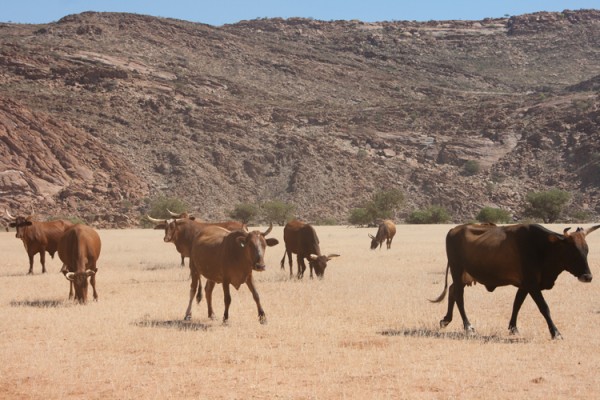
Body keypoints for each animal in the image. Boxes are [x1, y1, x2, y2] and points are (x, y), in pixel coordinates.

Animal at [432, 223, 600, 340]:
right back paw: (467, 326)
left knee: (452, 291)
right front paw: (556, 333)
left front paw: (513, 328)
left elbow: (517, 304)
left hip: (464, 276)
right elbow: (544, 307)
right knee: (459, 296)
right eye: (572, 251)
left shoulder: (525, 285)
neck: (543, 247)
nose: (588, 277)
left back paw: (446, 320)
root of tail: (453, 230)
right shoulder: (532, 285)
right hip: (457, 270)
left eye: (586, 250)